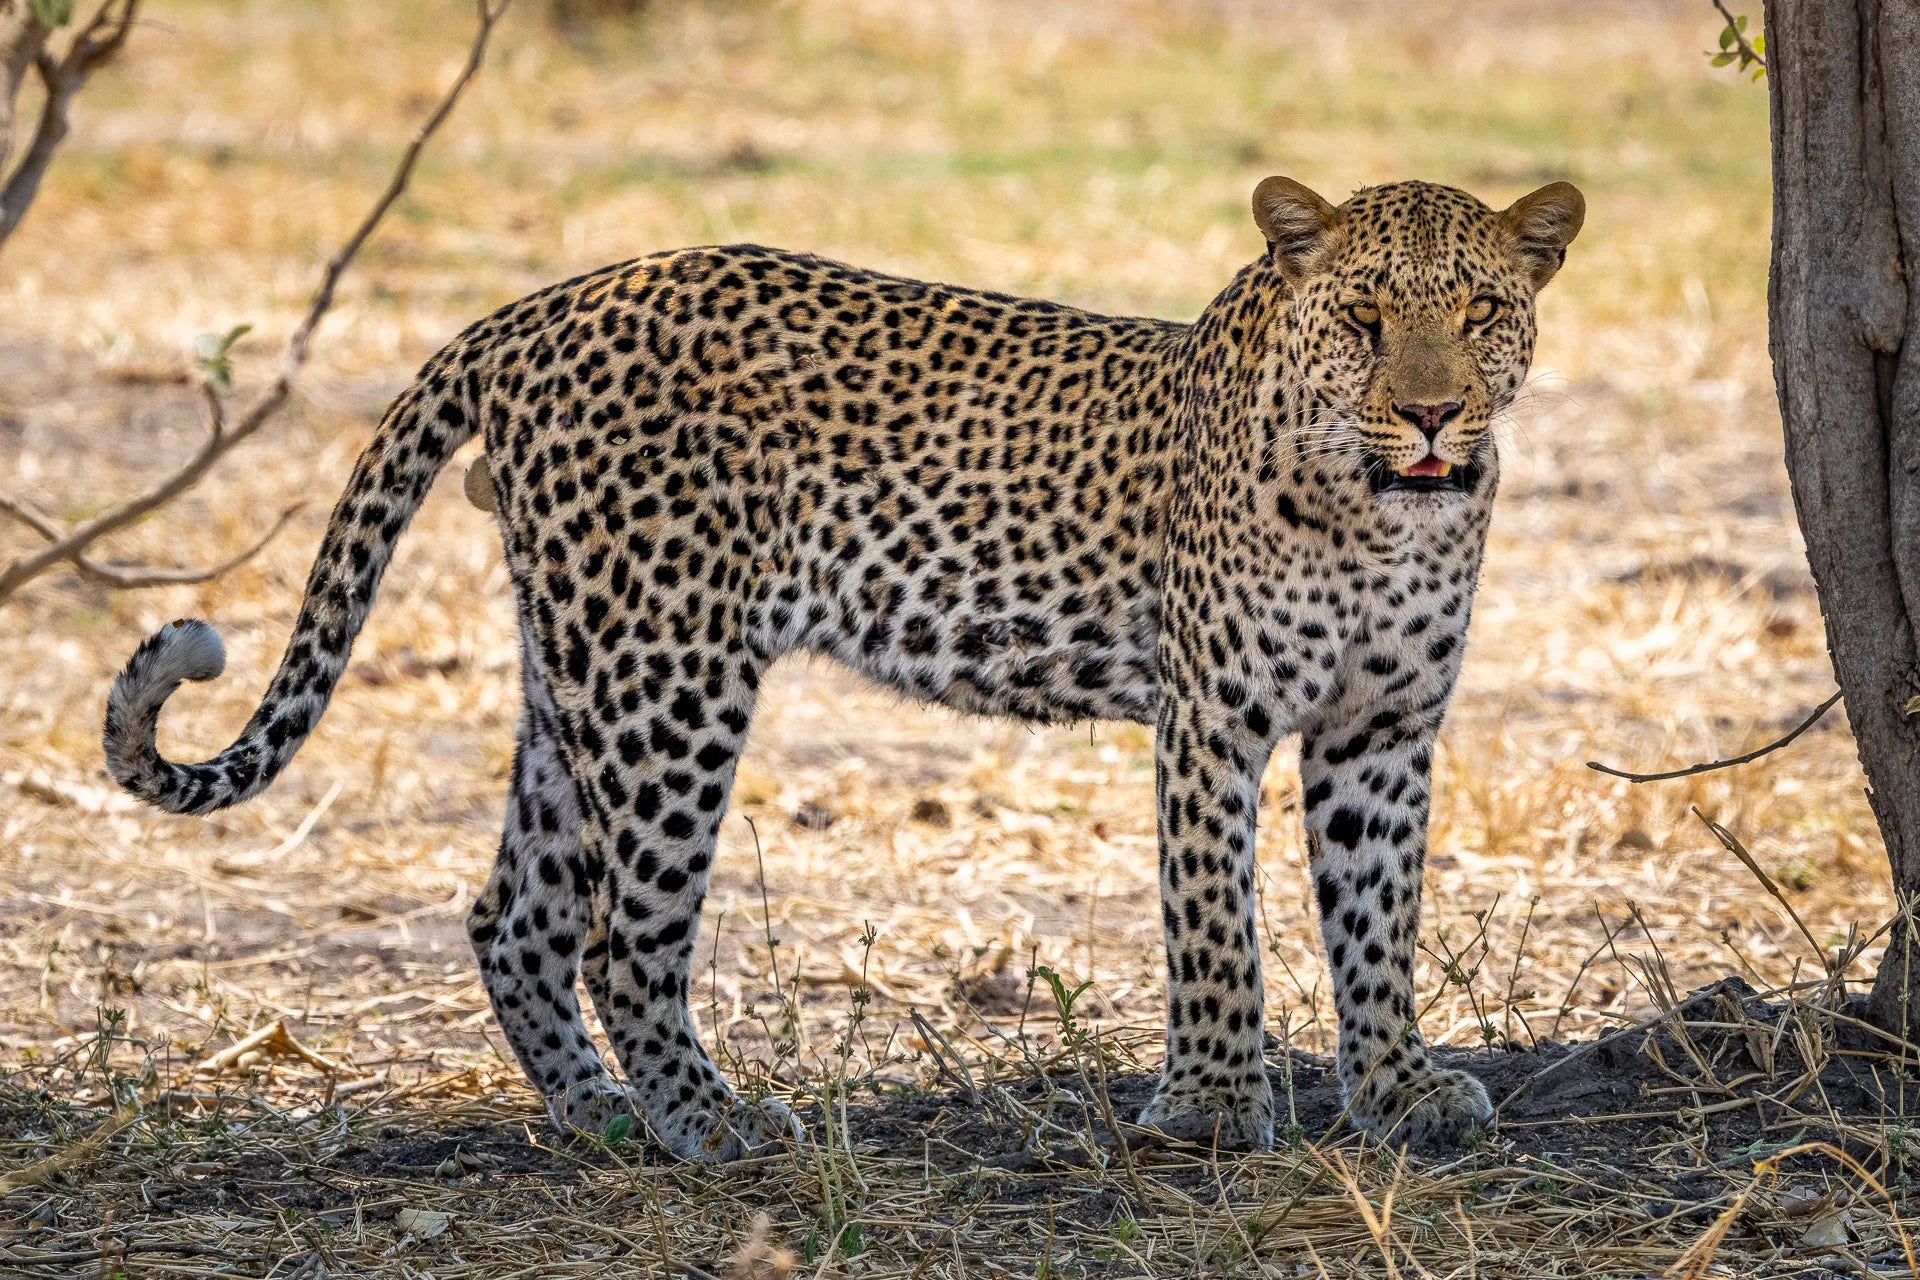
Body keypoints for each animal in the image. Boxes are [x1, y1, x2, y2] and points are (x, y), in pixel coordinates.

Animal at [104, 175, 1584, 1161]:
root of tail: (537, 308)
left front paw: (1396, 1087)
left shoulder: (1381, 730)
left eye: (1480, 311)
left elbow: (1378, 919)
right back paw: (717, 1124)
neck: (1386, 512)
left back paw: (604, 1121)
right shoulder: (1213, 718)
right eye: (1365, 315)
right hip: (670, 675)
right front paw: (1217, 1103)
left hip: (575, 663)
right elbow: (1216, 920)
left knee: (514, 914)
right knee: (623, 934)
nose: (1433, 411)